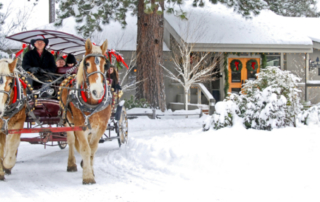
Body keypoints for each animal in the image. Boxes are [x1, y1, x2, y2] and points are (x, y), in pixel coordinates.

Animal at [60, 38, 112, 185]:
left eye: (105, 65)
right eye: (87, 63)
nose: (97, 92)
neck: (92, 104)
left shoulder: (100, 127)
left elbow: (92, 149)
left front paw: (90, 170)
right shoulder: (79, 126)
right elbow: (85, 148)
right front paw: (88, 177)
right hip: (68, 122)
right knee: (71, 141)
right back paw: (71, 164)